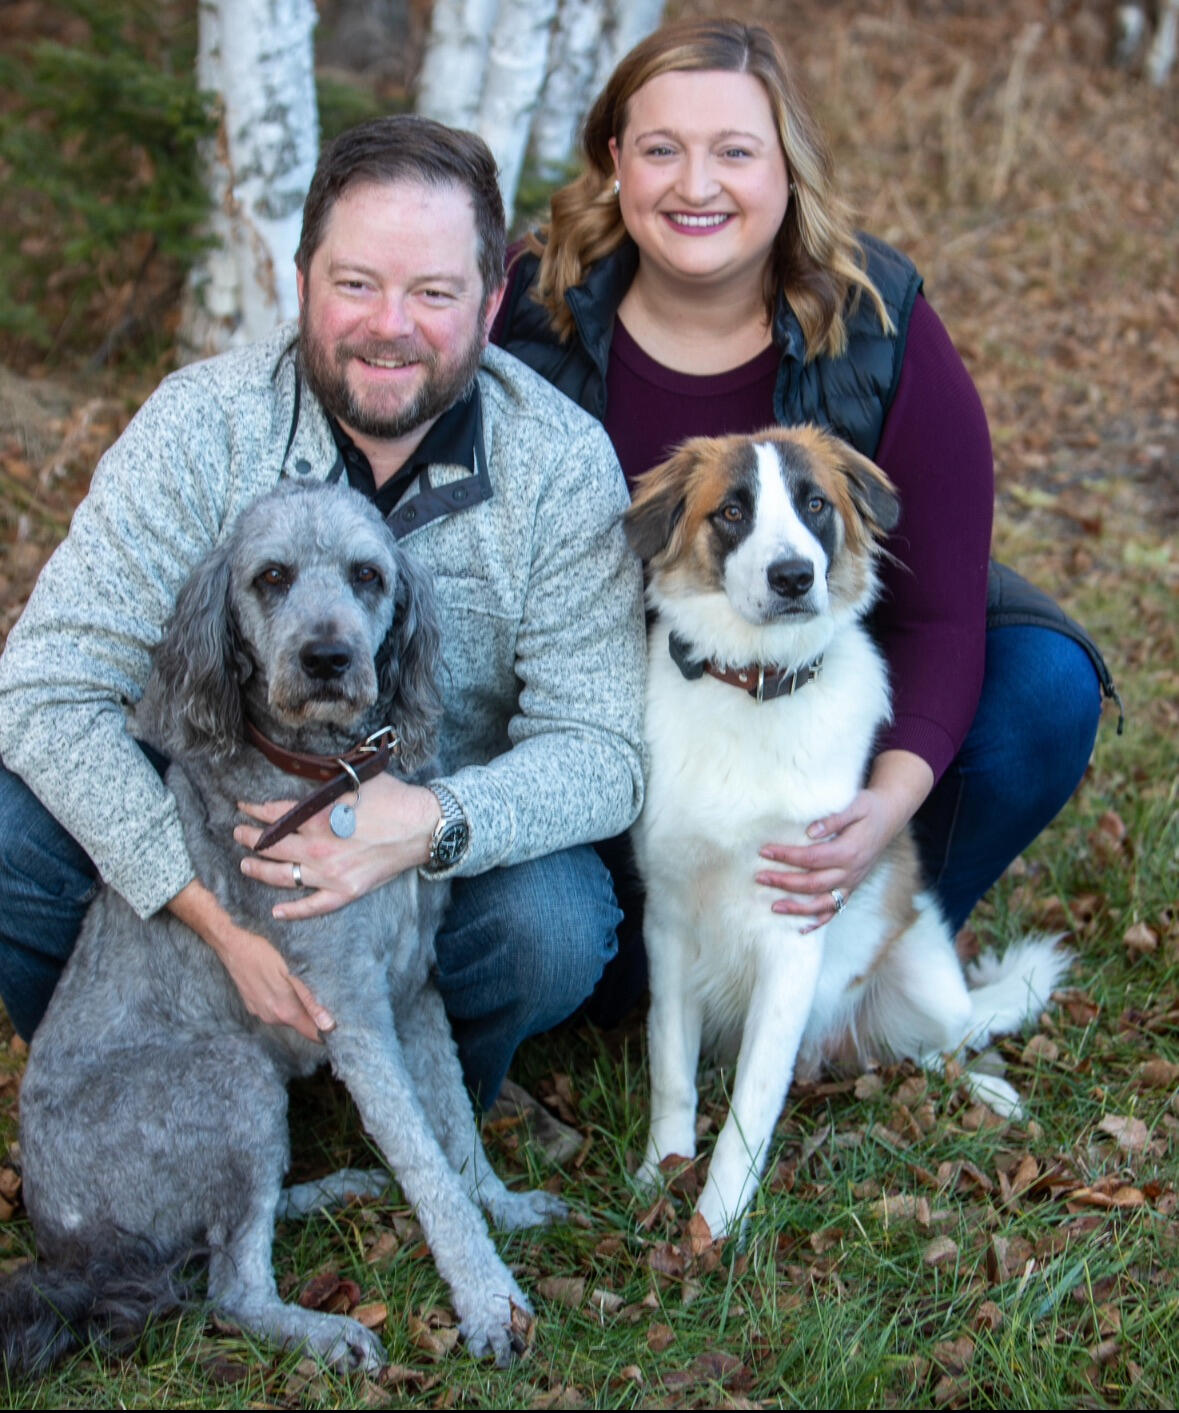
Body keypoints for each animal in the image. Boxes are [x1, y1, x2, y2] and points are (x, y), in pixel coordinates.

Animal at [3, 486, 565, 1379]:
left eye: (368, 575)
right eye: (270, 577)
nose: (327, 658)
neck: (330, 777)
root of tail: (69, 1244)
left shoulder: (415, 991)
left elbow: (455, 1131)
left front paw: (503, 1207)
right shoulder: (355, 1015)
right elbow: (426, 1163)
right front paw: (488, 1303)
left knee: (240, 1230)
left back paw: (331, 1189)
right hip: (232, 1079)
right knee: (230, 1289)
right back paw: (324, 1330)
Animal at [624, 423, 1063, 1243]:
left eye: (814, 505)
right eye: (733, 511)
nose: (795, 576)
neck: (756, 686)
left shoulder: (793, 930)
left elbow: (751, 1102)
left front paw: (715, 1223)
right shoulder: (667, 926)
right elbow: (671, 1072)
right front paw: (660, 1174)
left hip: (925, 979)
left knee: (947, 1045)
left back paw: (989, 1093)